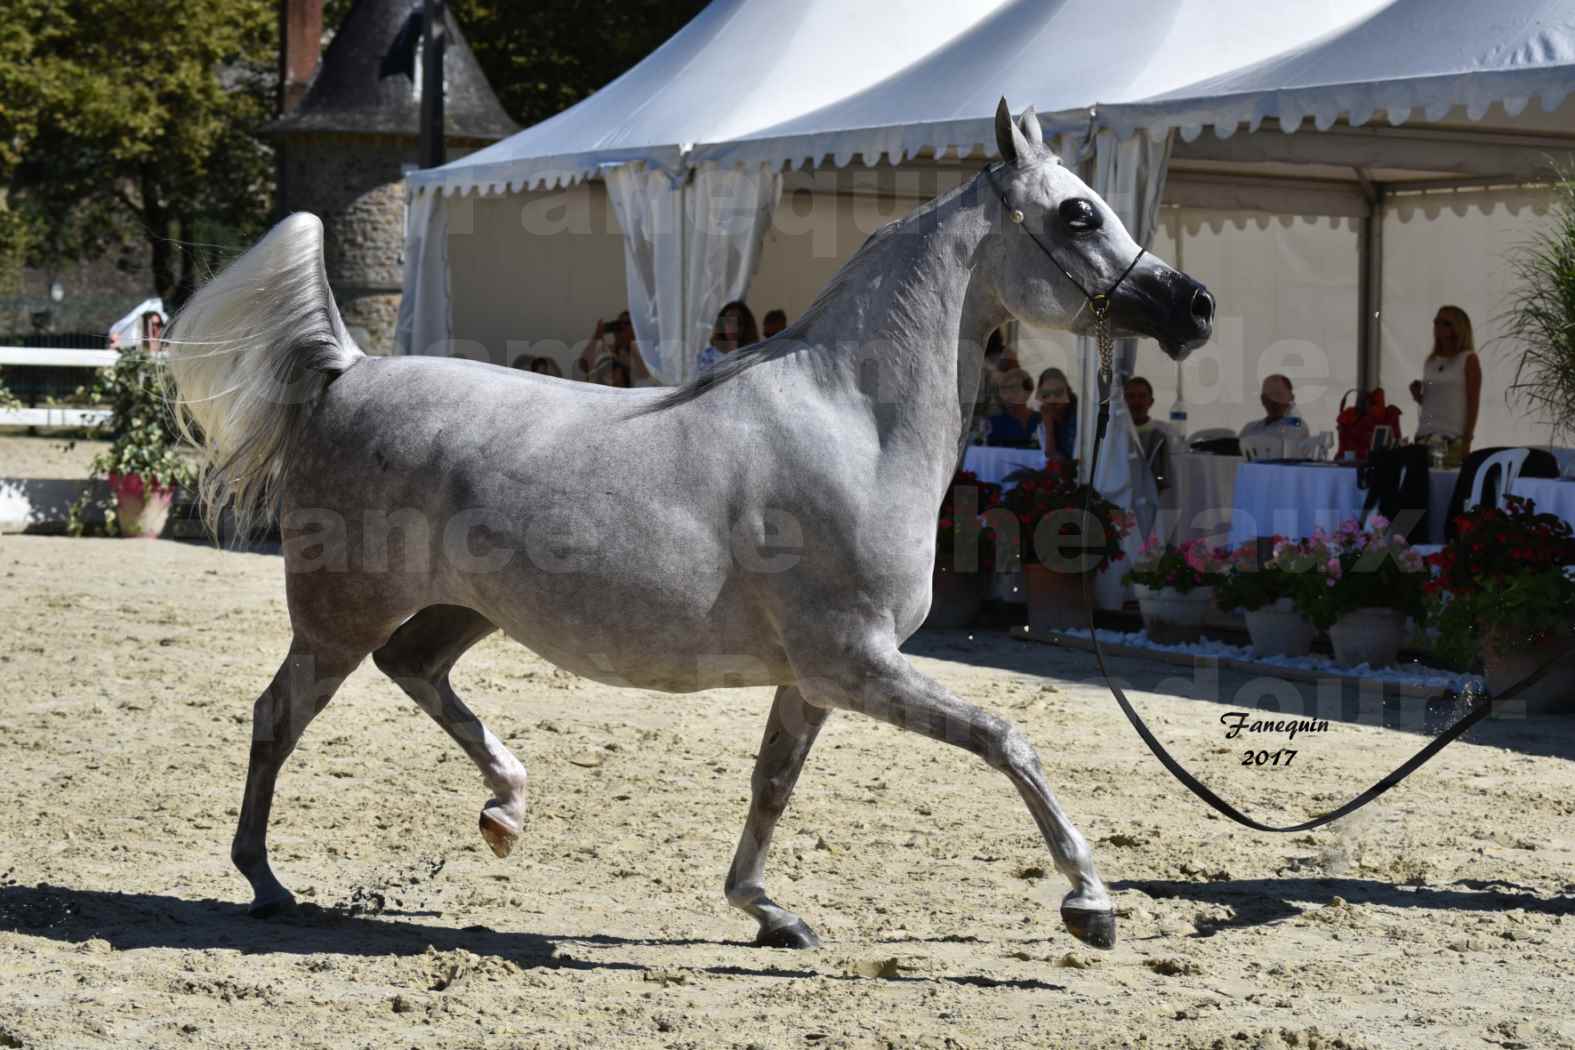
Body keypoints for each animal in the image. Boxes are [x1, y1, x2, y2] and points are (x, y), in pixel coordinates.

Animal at [166, 104, 1209, 950]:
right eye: (1078, 213)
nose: (1192, 307)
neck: (854, 423)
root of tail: (350, 369)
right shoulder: (856, 662)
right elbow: (1008, 741)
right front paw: (1090, 905)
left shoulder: (816, 677)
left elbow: (772, 783)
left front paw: (767, 911)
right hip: (338, 618)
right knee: (278, 716)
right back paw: (266, 882)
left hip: (460, 611)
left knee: (413, 669)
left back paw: (506, 810)